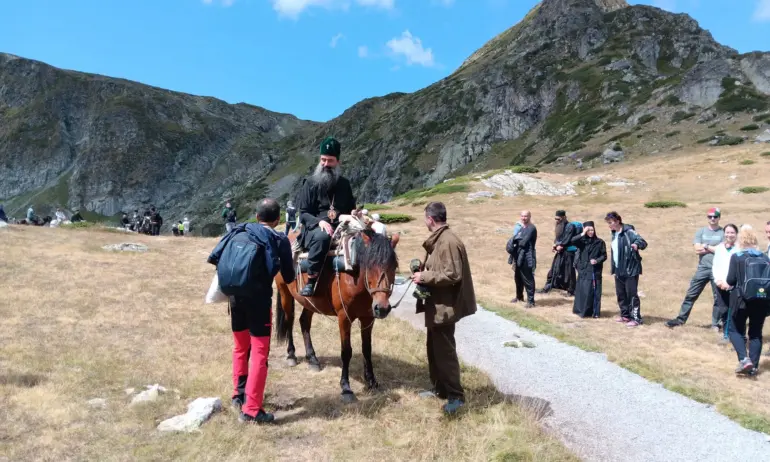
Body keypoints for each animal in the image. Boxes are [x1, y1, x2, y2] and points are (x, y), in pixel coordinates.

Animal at [274, 229, 396, 402]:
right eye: (370, 265)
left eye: (394, 266)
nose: (383, 308)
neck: (353, 275)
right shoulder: (344, 318)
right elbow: (346, 351)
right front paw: (346, 388)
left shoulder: (368, 319)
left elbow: (367, 349)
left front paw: (372, 382)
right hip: (284, 291)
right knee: (289, 321)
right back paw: (291, 355)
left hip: (310, 301)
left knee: (304, 321)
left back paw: (312, 359)